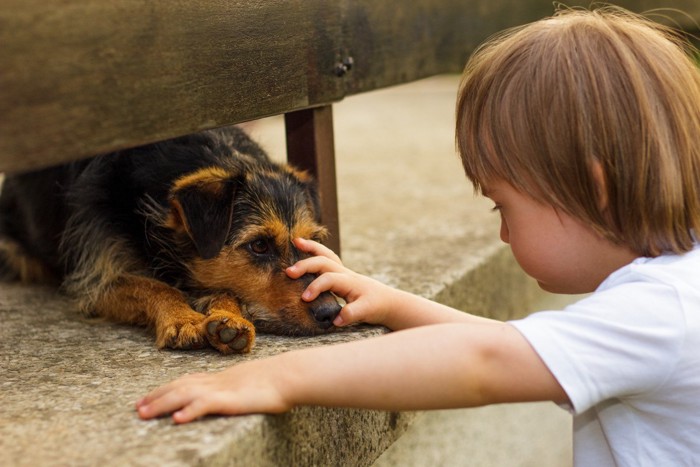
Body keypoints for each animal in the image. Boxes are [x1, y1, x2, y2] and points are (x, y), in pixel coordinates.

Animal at [0, 126, 342, 352]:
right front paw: (183, 319)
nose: (331, 312)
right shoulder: (97, 279)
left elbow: (223, 289)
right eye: (259, 245)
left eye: (310, 242)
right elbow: (155, 286)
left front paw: (227, 318)